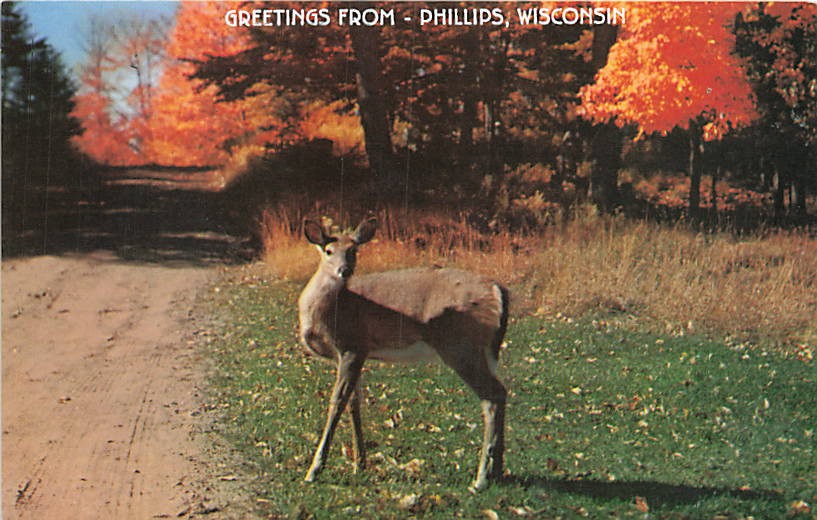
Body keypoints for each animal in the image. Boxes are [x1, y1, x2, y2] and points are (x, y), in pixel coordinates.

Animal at [297, 217, 509, 491]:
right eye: (329, 250)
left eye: (353, 250)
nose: (344, 270)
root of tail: (498, 290)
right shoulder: (355, 353)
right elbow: (354, 403)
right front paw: (359, 463)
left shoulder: (353, 346)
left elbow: (337, 402)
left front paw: (314, 470)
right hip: (484, 351)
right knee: (501, 392)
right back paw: (498, 471)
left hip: (460, 346)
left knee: (491, 396)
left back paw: (481, 478)